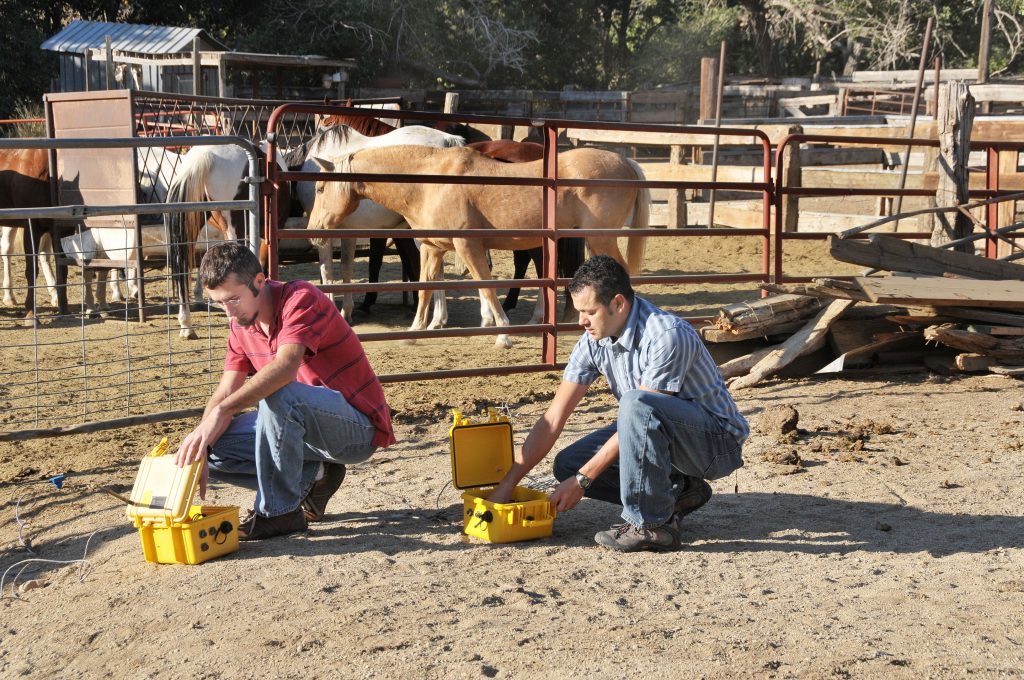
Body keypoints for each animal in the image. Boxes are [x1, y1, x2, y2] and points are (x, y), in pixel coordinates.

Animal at [0, 147, 67, 323]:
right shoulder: (31, 227)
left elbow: (61, 266)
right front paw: (31, 313)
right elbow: (31, 270)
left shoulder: (56, 230)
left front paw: (63, 307)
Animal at [307, 142, 651, 346]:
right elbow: (424, 289)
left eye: (321, 188)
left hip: (601, 236)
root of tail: (626, 162)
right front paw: (416, 331)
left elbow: (485, 285)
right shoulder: (432, 248)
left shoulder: (467, 246)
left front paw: (502, 335)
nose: (313, 231)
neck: (429, 182)